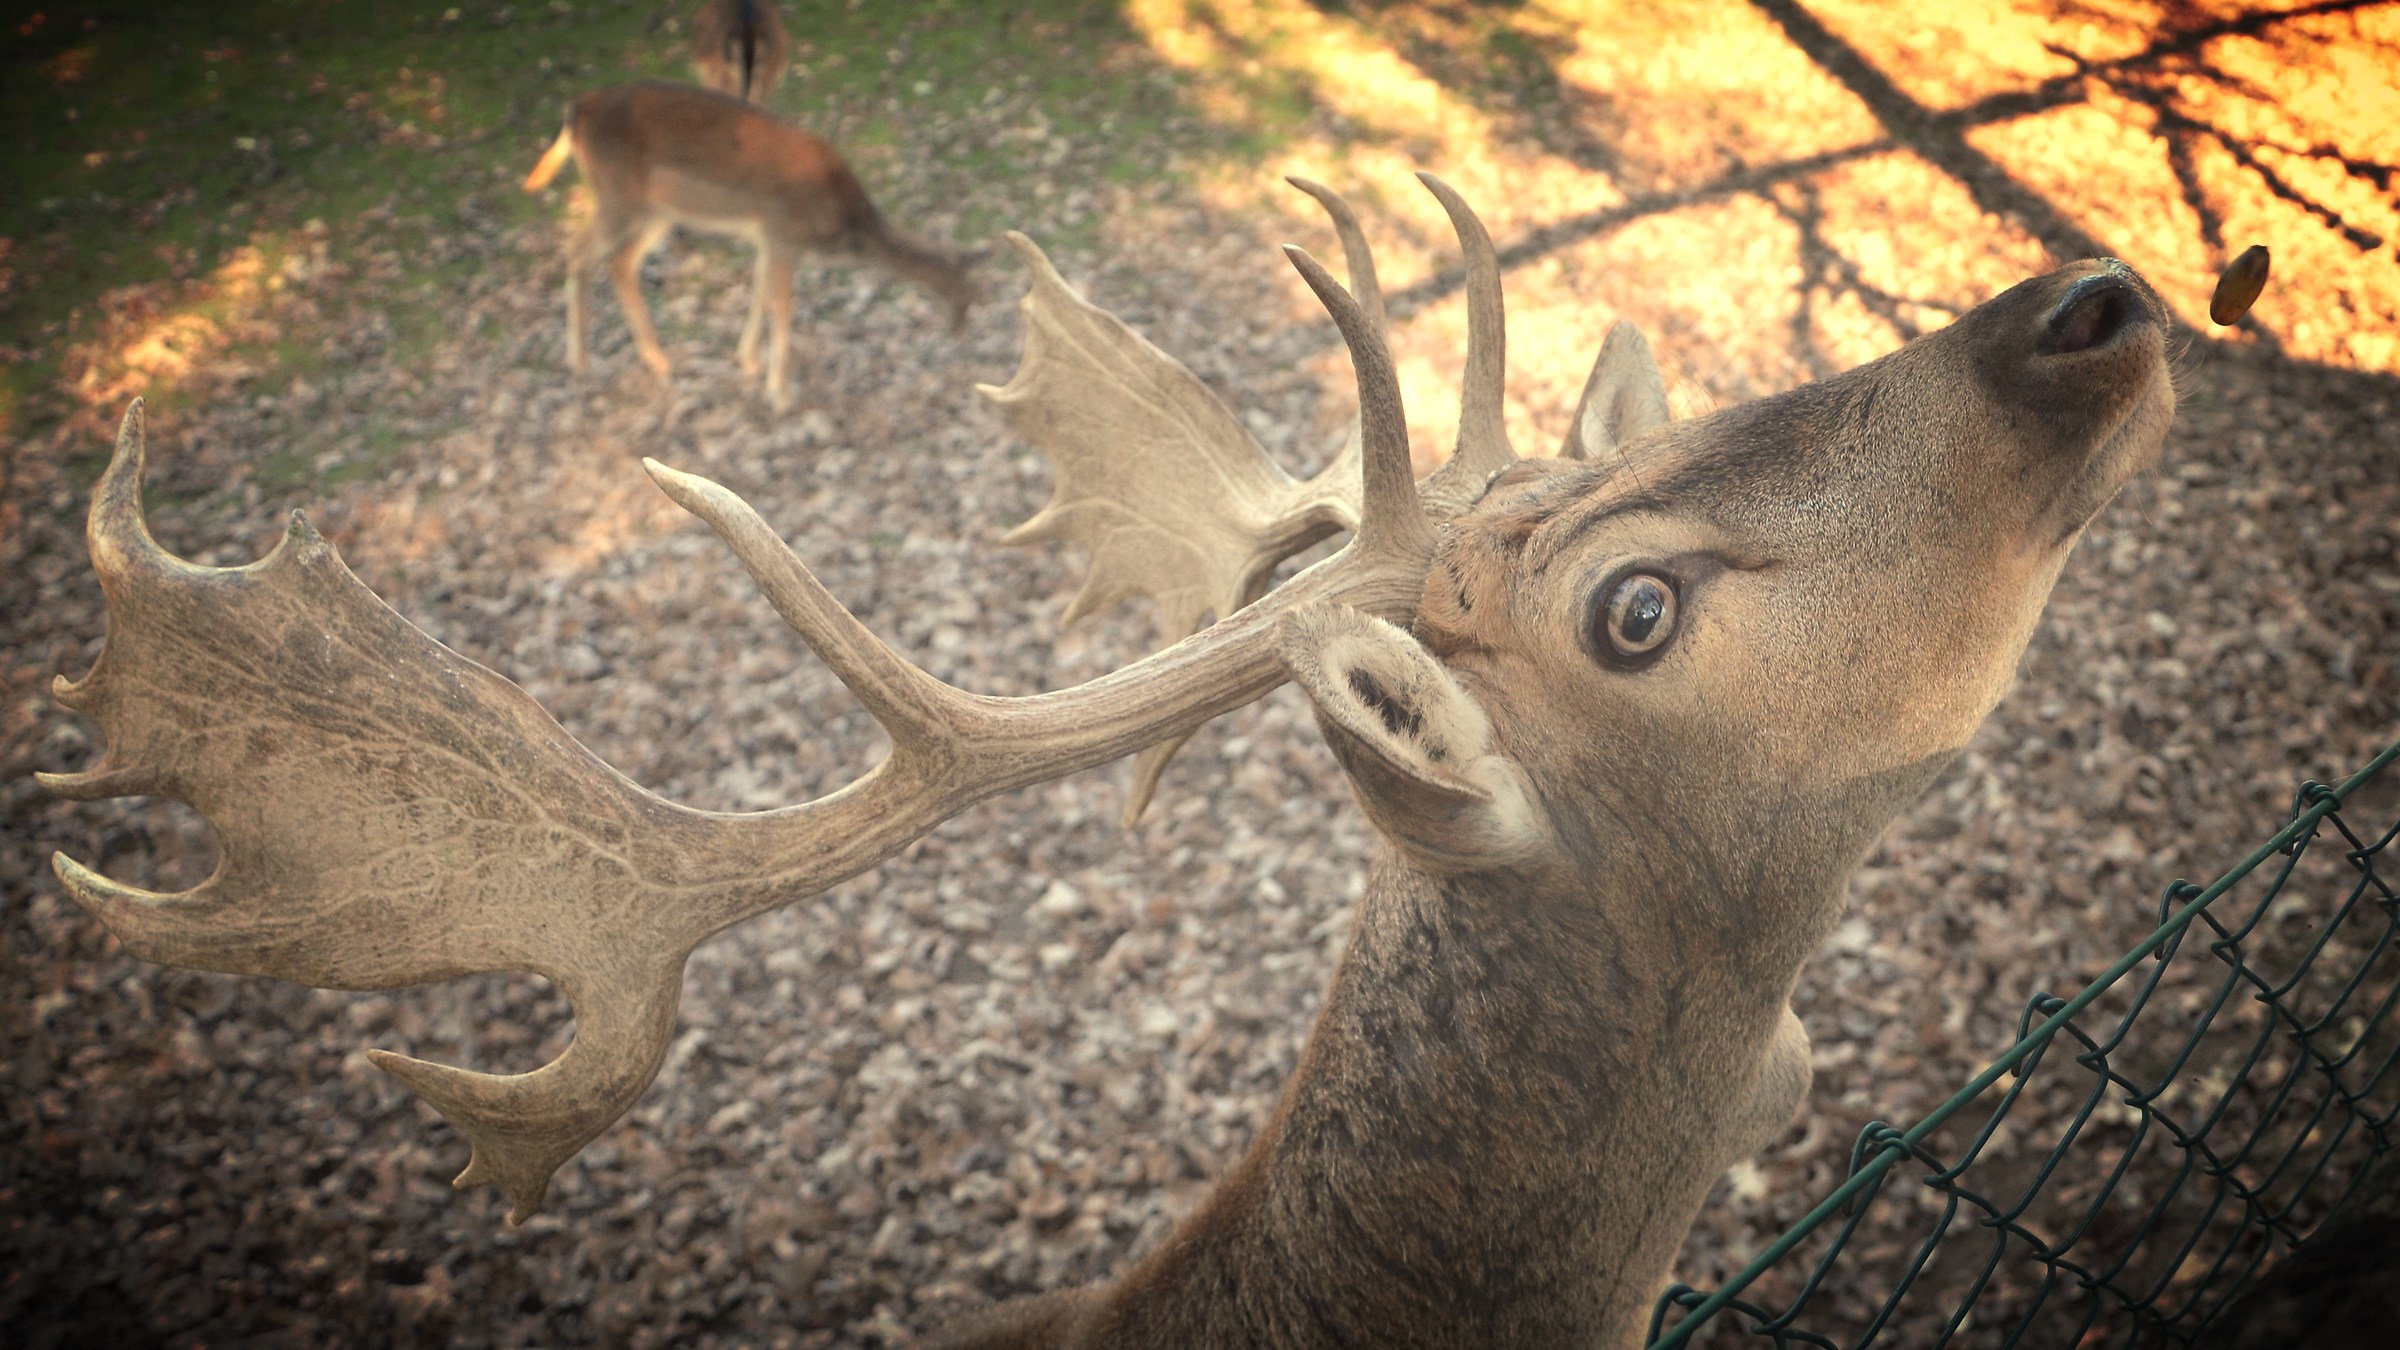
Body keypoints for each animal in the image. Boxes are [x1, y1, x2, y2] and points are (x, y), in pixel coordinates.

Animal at [521, 81, 979, 412]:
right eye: (967, 295)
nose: (961, 334)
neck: (840, 226)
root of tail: (575, 111)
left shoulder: (767, 239)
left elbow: (760, 294)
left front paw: (748, 362)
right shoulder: (782, 235)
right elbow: (782, 307)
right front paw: (781, 396)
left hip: (656, 211)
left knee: (619, 261)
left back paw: (657, 359)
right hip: (620, 198)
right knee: (578, 254)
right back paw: (581, 363)